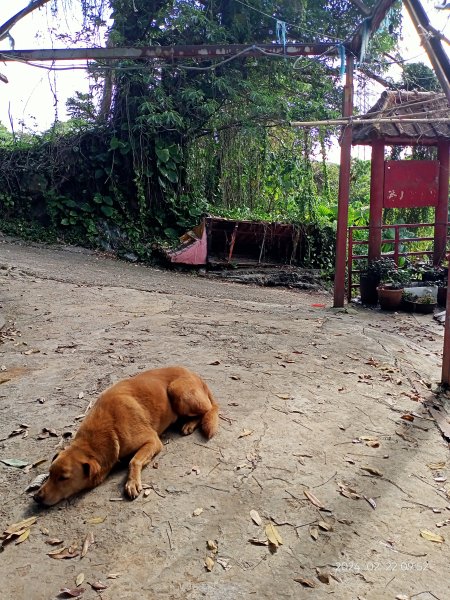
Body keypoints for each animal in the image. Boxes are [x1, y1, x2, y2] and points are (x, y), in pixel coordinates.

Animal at [33, 366, 220, 506]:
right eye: (50, 473)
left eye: (64, 478)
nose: (36, 497)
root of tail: (196, 376)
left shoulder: (153, 441)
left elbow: (134, 461)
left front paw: (132, 483)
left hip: (177, 390)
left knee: (210, 409)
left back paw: (190, 423)